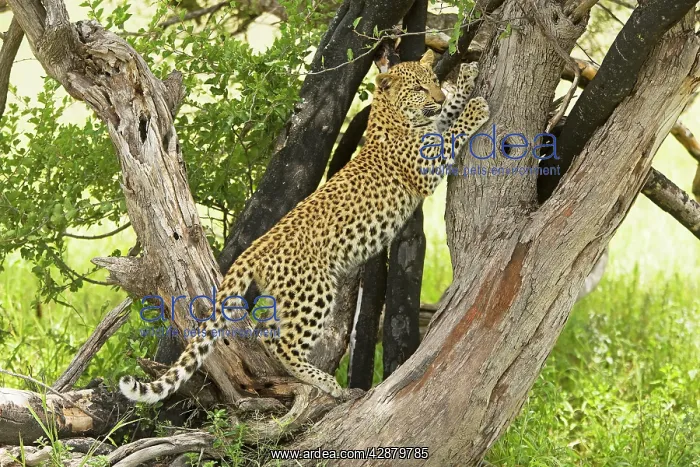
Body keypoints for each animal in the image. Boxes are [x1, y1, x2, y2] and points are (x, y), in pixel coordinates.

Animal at [119, 49, 490, 403]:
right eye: (418, 89)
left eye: (434, 82)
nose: (437, 96)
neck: (392, 116)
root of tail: (255, 247)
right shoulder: (425, 169)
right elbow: (452, 133)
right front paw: (475, 107)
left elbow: (446, 119)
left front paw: (465, 81)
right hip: (314, 290)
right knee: (283, 344)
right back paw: (325, 382)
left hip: (286, 296)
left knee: (267, 334)